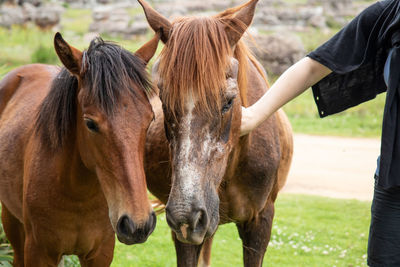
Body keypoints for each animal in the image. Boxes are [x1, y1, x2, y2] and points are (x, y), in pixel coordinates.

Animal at [0, 32, 159, 266]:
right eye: (90, 123)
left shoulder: (100, 253)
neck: (78, 194)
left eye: (150, 119)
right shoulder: (38, 252)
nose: (138, 225)